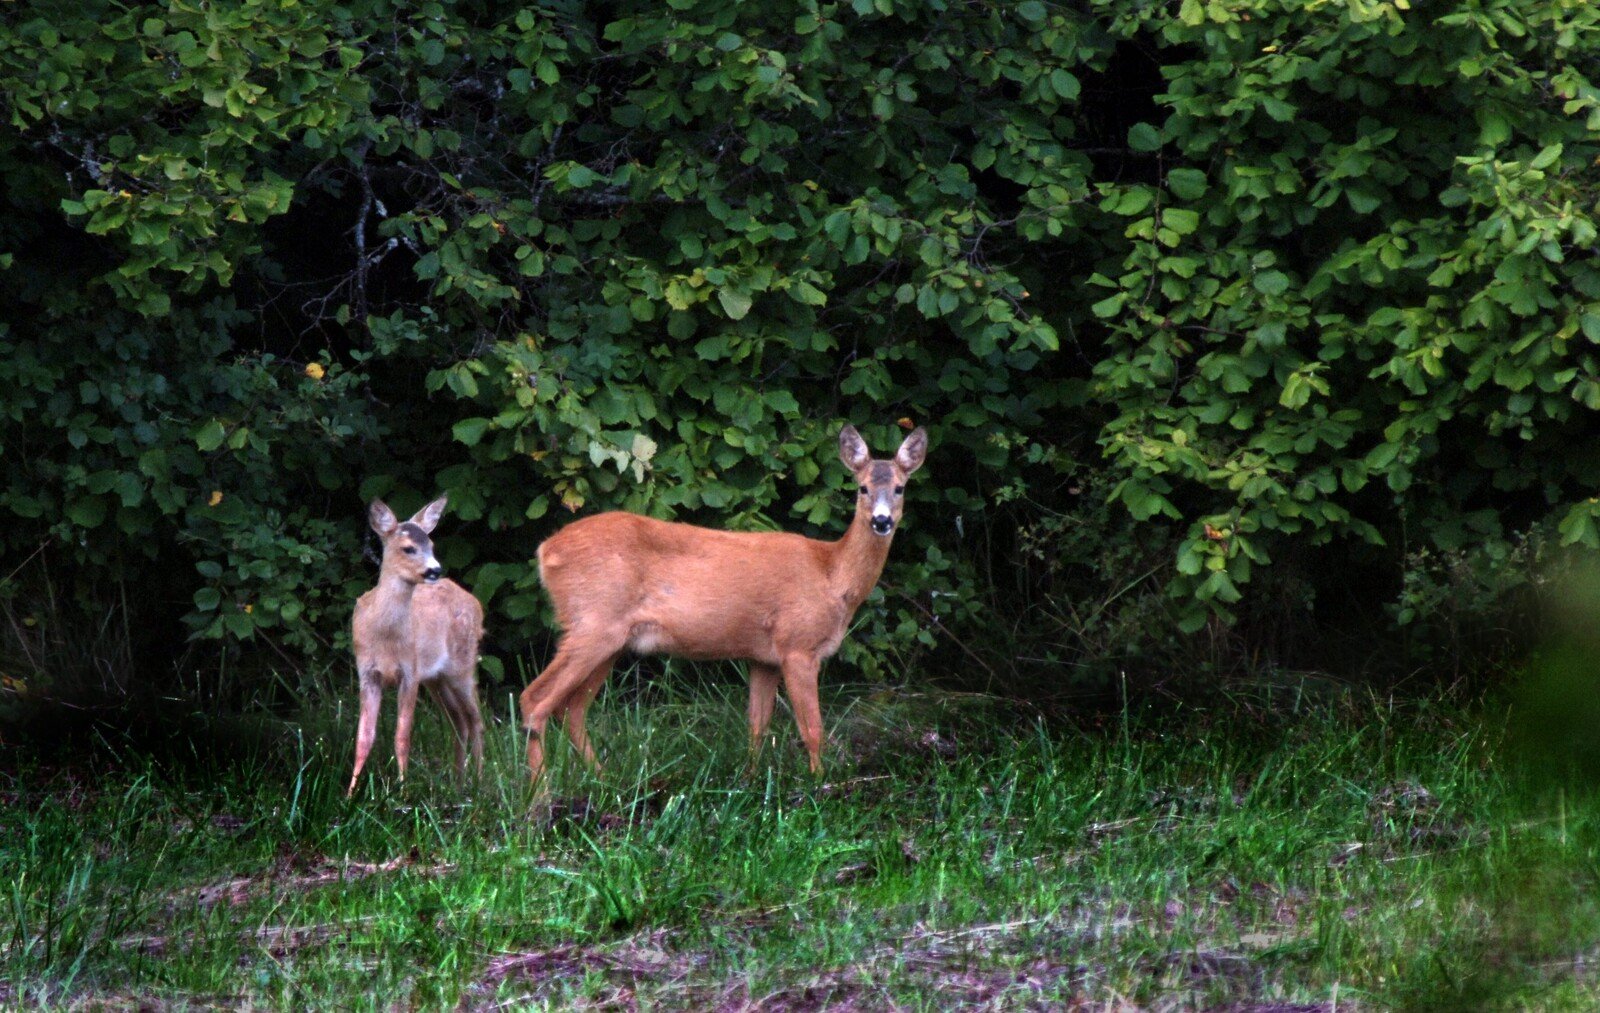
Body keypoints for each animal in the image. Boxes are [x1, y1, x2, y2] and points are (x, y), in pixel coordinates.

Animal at [355, 492, 486, 793]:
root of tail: (474, 602)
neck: (385, 635)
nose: (434, 570)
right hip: (437, 679)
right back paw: (459, 782)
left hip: (462, 666)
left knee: (475, 718)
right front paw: (350, 793)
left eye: (432, 545)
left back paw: (479, 780)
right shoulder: (367, 672)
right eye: (408, 548)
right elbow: (363, 738)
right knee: (458, 720)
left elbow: (402, 736)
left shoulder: (410, 671)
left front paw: (402, 790)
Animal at [518, 419, 934, 780]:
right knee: (534, 699)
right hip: (592, 621)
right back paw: (540, 797)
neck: (831, 574)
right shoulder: (797, 644)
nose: (881, 521)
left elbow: (757, 726)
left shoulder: (763, 657)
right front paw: (820, 787)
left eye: (900, 488)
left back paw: (603, 781)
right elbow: (813, 729)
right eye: (862, 488)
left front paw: (751, 781)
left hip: (612, 639)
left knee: (571, 709)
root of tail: (546, 550)